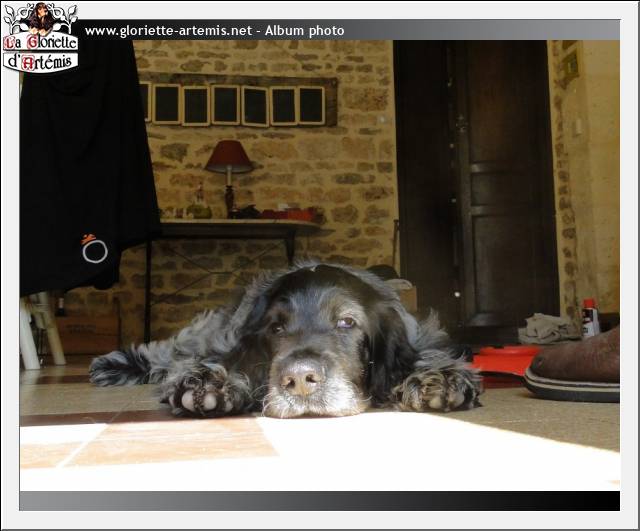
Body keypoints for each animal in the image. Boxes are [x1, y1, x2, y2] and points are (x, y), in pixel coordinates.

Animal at [90, 262, 482, 418]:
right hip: (208, 332)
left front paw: (438, 379)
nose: (300, 380)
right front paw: (210, 385)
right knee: (170, 351)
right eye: (275, 328)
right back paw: (114, 365)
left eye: (347, 322)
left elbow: (424, 358)